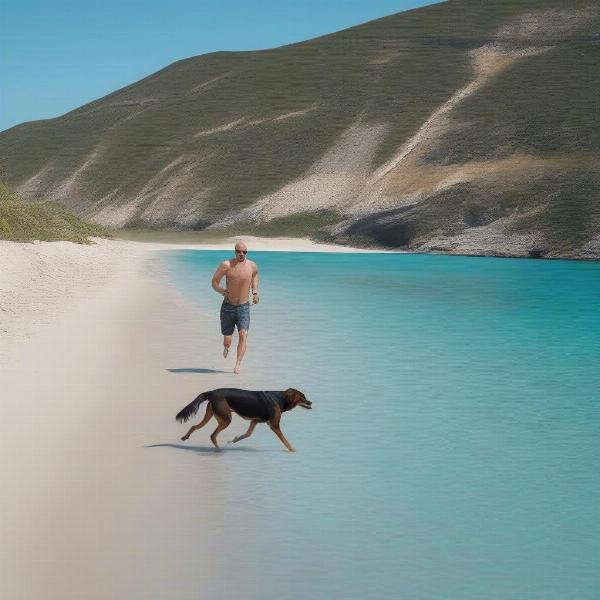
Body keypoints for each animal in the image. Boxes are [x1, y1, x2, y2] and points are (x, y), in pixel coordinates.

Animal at [175, 386, 312, 452]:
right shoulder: (274, 425)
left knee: (194, 427)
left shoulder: (255, 421)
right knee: (213, 435)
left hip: (212, 416)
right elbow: (285, 440)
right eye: (303, 397)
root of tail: (212, 392)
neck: (280, 398)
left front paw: (233, 440)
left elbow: (247, 434)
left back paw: (185, 437)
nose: (311, 402)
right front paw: (292, 449)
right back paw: (219, 450)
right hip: (226, 419)